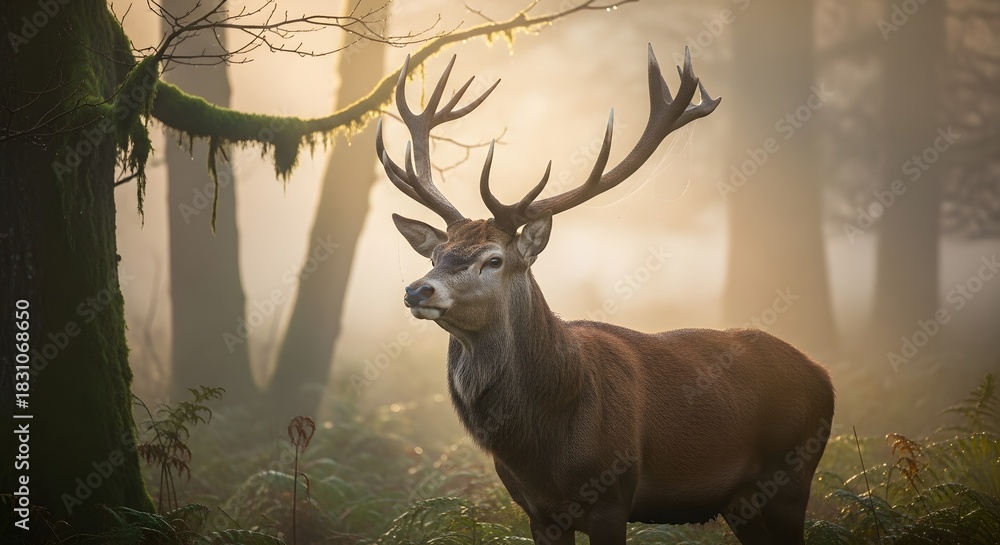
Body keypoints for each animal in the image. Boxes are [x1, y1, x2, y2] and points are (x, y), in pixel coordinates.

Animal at [375, 46, 835, 545]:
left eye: (494, 260)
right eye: (437, 253)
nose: (417, 288)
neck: (542, 445)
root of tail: (825, 377)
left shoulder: (613, 494)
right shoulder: (537, 511)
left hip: (792, 474)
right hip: (742, 502)